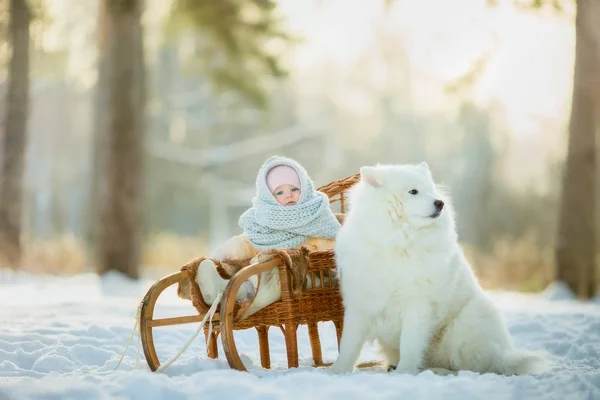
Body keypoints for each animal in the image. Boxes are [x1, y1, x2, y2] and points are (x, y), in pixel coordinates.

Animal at [330, 162, 552, 376]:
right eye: (413, 191)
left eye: (431, 190)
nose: (440, 203)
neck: (398, 241)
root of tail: (503, 353)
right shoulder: (360, 304)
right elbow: (349, 344)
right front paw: (337, 371)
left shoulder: (416, 304)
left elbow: (410, 344)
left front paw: (405, 372)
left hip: (465, 325)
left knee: (471, 366)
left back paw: (437, 371)